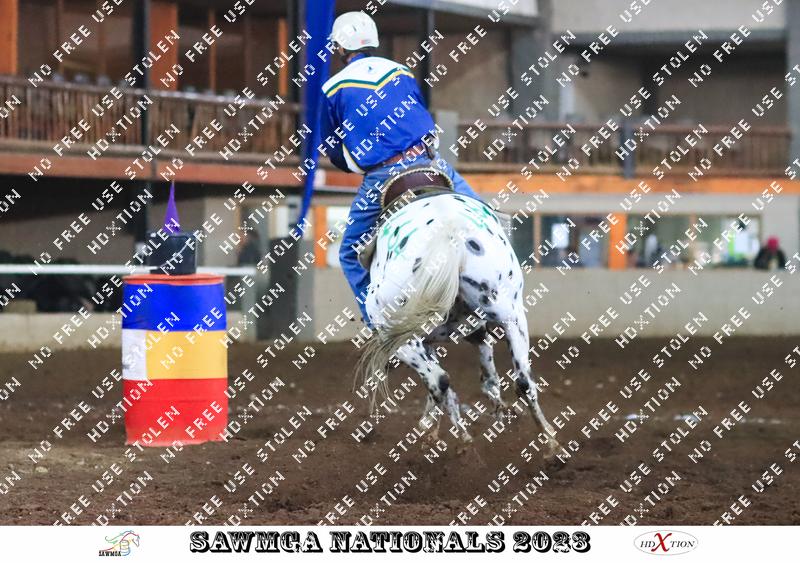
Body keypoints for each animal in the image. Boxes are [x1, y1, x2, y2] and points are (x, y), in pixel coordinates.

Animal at [357, 170, 565, 461]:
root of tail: (450, 230)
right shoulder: (465, 335)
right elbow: (487, 378)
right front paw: (497, 411)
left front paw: (440, 432)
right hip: (512, 317)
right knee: (523, 382)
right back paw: (551, 444)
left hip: (396, 336)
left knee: (438, 380)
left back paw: (441, 436)